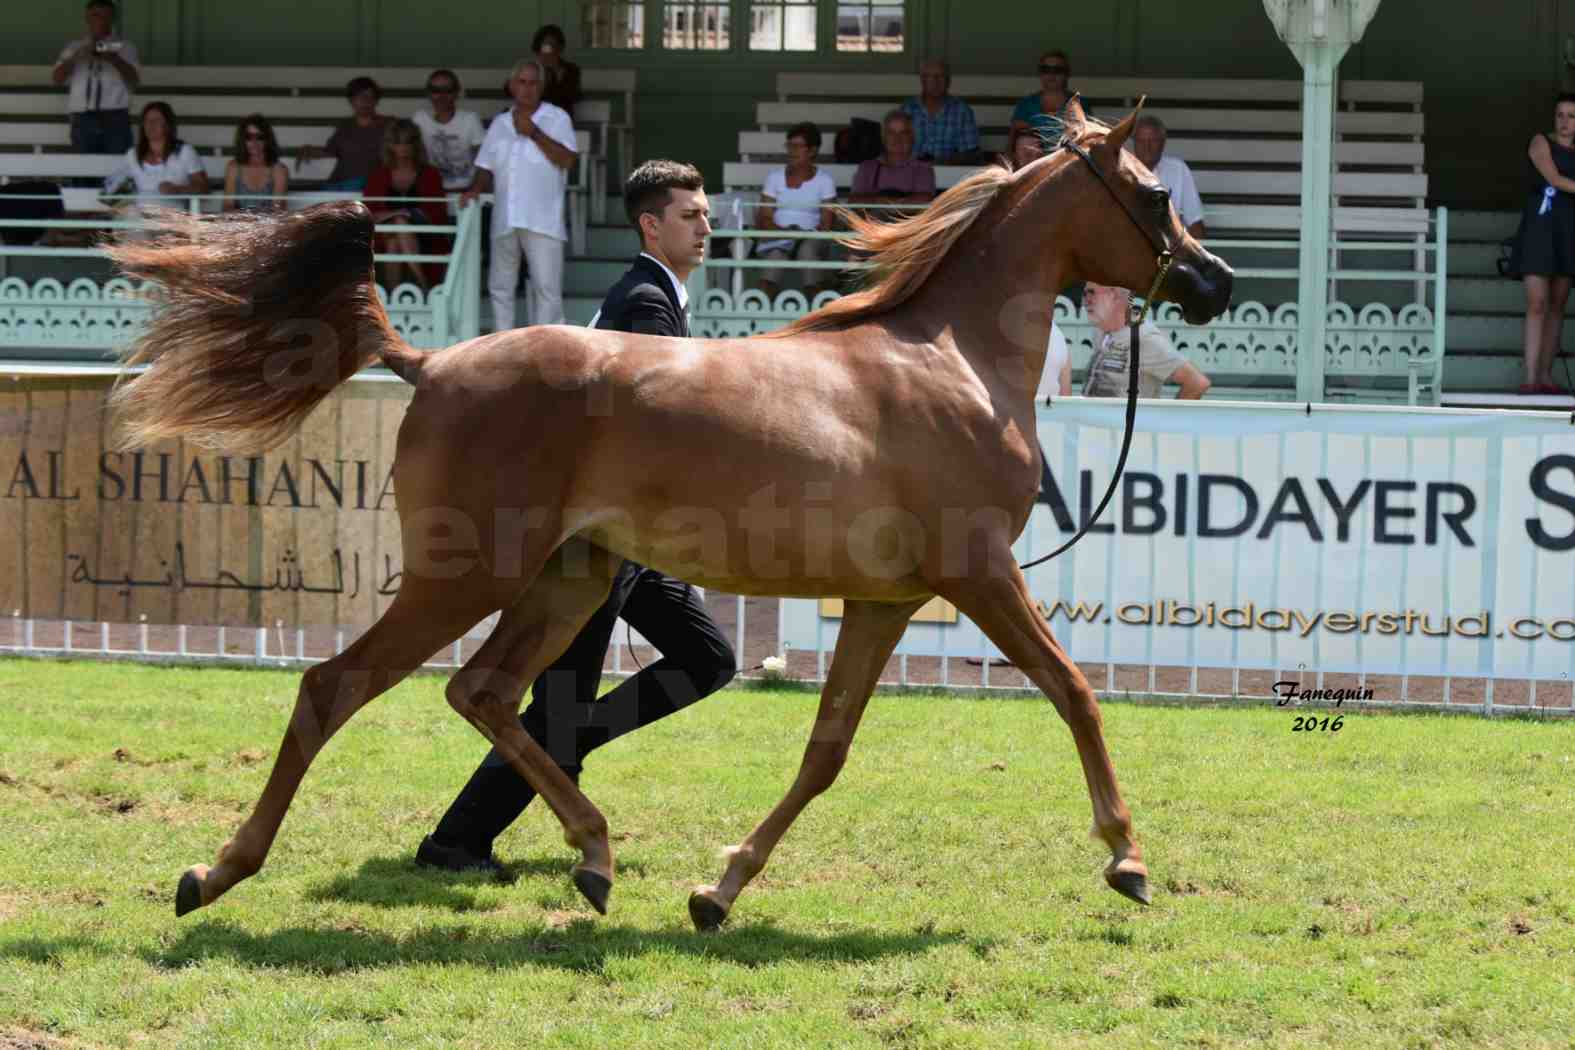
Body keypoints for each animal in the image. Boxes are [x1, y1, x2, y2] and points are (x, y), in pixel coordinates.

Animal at [111, 102, 1228, 931]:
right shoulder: (981, 573)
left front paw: (716, 889)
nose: (1213, 282)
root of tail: (430, 361)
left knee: (485, 693)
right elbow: (1077, 692)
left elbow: (825, 752)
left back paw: (593, 857)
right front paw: (1127, 860)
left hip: (569, 579)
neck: (949, 361)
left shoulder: (884, 601)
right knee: (334, 687)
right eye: (1154, 193)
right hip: (467, 575)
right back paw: (214, 874)